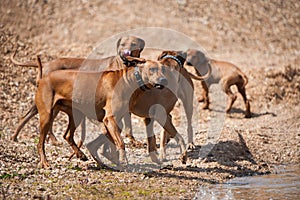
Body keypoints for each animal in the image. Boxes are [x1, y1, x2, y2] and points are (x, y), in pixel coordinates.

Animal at [9, 34, 145, 144]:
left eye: (133, 44)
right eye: (122, 44)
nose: (125, 53)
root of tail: (47, 64)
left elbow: (128, 123)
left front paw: (132, 140)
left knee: (42, 120)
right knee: (30, 117)